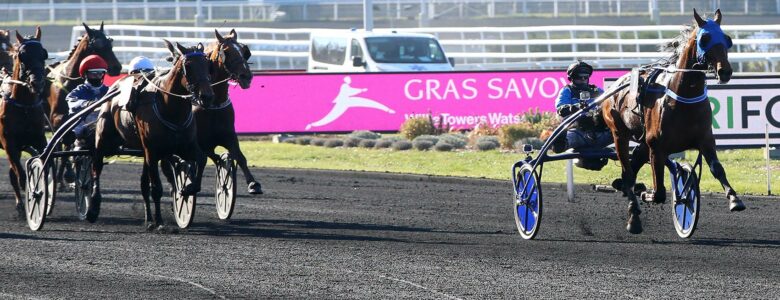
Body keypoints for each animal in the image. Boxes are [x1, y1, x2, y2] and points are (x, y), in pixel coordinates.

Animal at [0, 27, 49, 216]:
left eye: (43, 54)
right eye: (22, 55)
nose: (37, 82)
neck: (25, 106)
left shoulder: (39, 139)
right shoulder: (9, 143)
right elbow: (20, 176)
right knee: (14, 174)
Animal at [92, 39, 213, 230]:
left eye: (208, 64)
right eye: (188, 65)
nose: (207, 96)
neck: (171, 109)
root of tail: (115, 86)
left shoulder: (185, 146)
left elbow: (201, 159)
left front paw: (187, 189)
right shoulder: (153, 151)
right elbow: (156, 188)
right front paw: (160, 222)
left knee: (143, 184)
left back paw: (148, 219)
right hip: (104, 139)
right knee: (96, 167)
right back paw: (93, 207)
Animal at [200, 29, 264, 195]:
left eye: (243, 51)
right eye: (226, 51)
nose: (246, 76)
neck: (213, 104)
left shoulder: (229, 135)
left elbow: (239, 157)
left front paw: (253, 183)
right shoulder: (199, 141)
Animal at [600, 8, 748, 234]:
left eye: (727, 39)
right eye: (705, 38)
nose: (725, 71)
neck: (683, 96)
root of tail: (615, 86)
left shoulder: (705, 140)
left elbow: (717, 168)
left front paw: (734, 199)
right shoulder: (657, 146)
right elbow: (660, 191)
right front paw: (649, 194)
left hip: (642, 140)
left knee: (632, 167)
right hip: (619, 135)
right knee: (628, 172)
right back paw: (634, 216)